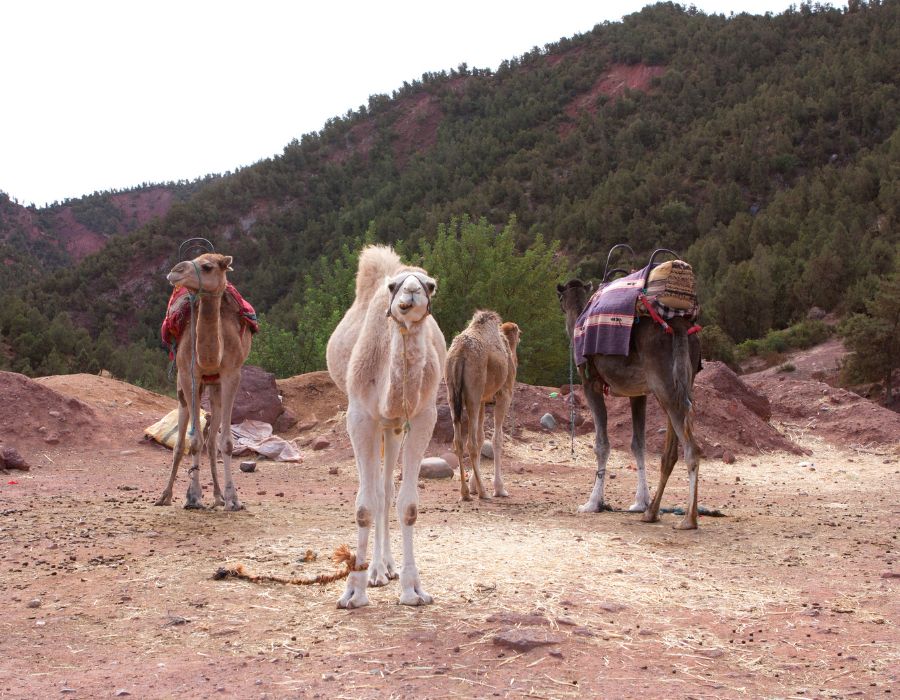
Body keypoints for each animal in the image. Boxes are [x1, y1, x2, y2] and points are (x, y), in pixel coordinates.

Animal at [155, 254, 251, 512]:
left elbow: (225, 443)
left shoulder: (231, 374)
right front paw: (193, 497)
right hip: (184, 388)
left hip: (215, 386)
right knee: (181, 443)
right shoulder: (190, 375)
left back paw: (218, 496)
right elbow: (193, 441)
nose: (175, 271)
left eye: (207, 267)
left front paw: (232, 499)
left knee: (211, 442)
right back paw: (165, 496)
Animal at [326, 246, 446, 608]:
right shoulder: (359, 417)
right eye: (393, 286)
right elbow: (364, 506)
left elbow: (408, 505)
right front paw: (353, 592)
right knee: (378, 492)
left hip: (392, 428)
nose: (412, 293)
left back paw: (386, 568)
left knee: (387, 490)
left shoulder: (423, 417)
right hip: (378, 424)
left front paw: (413, 589)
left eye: (431, 285)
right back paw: (375, 572)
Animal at [444, 310, 520, 498]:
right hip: (474, 391)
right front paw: (499, 488)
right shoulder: (504, 394)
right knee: (470, 442)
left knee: (459, 441)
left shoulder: (484, 400)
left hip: (453, 393)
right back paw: (483, 492)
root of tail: (460, 353)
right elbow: (496, 439)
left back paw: (465, 492)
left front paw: (473, 486)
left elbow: (481, 437)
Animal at [556, 278, 704, 532]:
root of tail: (679, 327)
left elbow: (602, 444)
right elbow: (638, 444)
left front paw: (592, 503)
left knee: (691, 448)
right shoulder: (638, 394)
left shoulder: (590, 384)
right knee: (671, 450)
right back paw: (652, 512)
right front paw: (640, 502)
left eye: (560, 299)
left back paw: (688, 519)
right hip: (680, 382)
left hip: (663, 384)